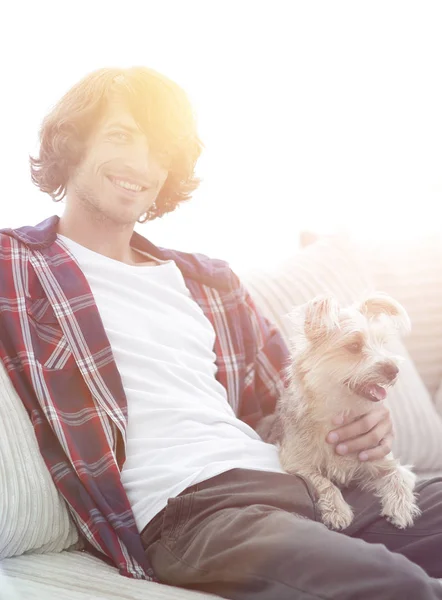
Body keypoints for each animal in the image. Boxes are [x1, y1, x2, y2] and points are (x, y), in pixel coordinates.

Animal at [258, 292, 422, 532]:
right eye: (353, 346)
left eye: (382, 343)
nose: (394, 370)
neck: (340, 413)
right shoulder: (297, 464)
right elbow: (324, 482)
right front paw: (337, 511)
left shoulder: (378, 456)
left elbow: (397, 474)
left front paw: (401, 508)